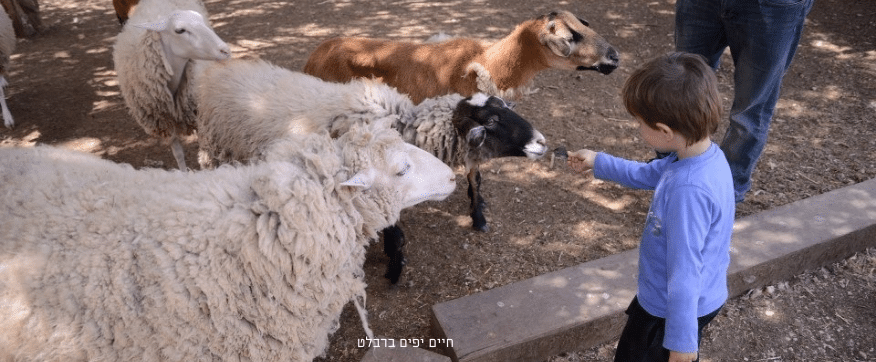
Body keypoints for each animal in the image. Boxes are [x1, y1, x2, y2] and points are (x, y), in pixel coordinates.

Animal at [113, 0, 229, 170]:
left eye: (200, 20)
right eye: (180, 30)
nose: (225, 50)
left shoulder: (199, 116)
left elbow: (205, 155)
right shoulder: (165, 122)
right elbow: (178, 155)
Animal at [195, 58, 544, 282]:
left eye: (504, 108)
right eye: (492, 121)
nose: (542, 142)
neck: (401, 124)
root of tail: (216, 69)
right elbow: (395, 235)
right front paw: (394, 270)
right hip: (214, 149)